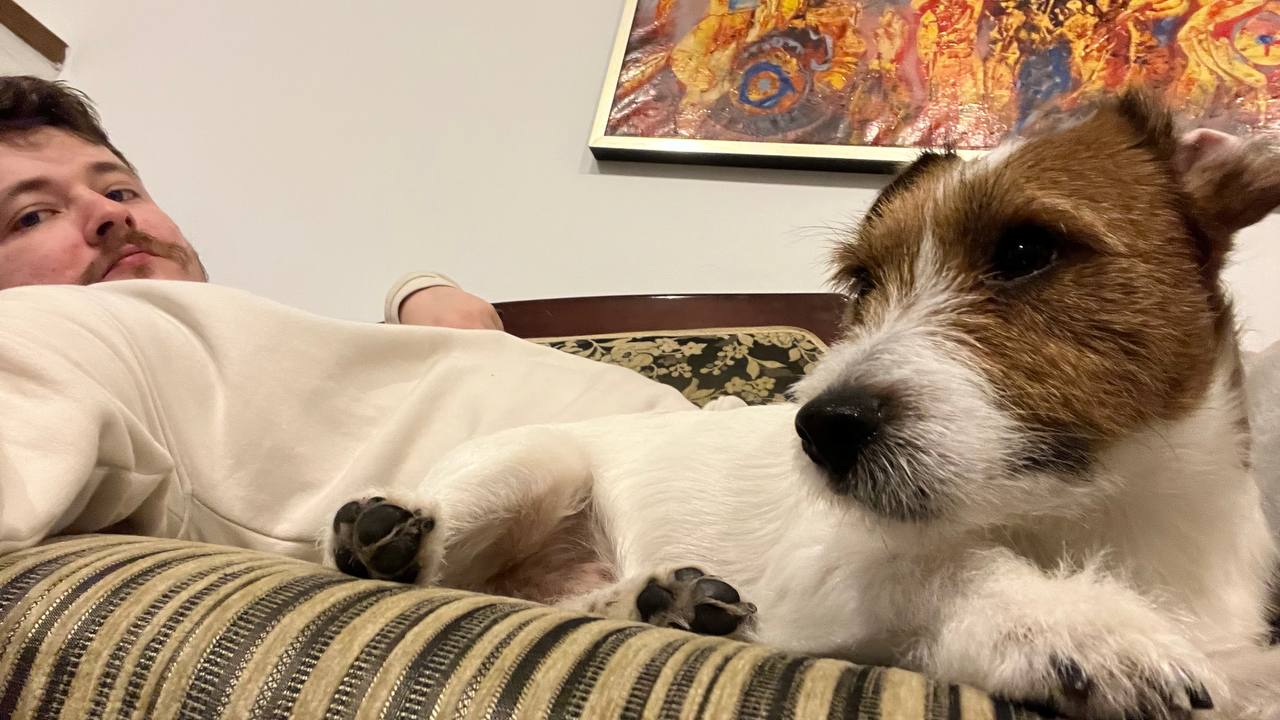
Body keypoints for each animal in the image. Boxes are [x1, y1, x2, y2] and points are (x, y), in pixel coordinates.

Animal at [323, 92, 1280, 719]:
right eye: (861, 284)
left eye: (1025, 251)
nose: (821, 428)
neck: (1103, 511)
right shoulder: (827, 573)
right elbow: (943, 564)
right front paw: (1069, 620)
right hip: (530, 468)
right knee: (446, 561)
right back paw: (384, 531)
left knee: (546, 599)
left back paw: (662, 601)